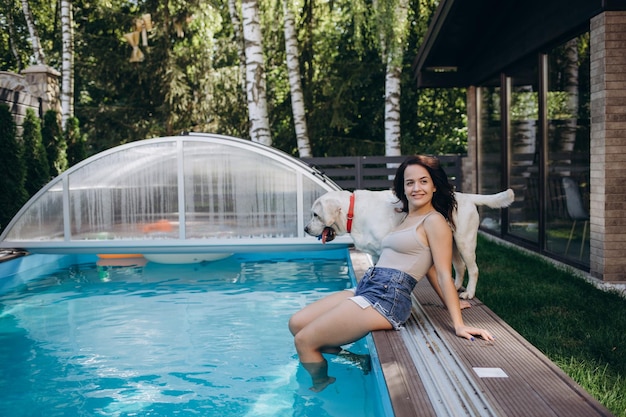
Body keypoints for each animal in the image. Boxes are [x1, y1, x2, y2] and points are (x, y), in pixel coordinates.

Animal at [302, 187, 512, 298]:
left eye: (315, 214)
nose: (305, 229)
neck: (352, 212)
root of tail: (466, 196)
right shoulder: (376, 254)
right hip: (450, 244)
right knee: (460, 267)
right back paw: (455, 286)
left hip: (464, 242)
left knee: (474, 269)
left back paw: (468, 293)